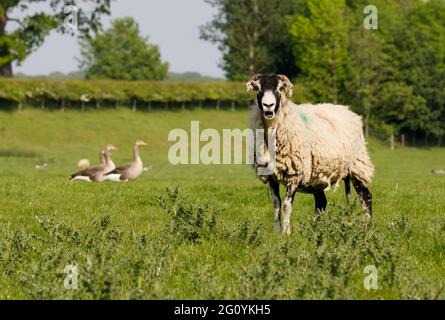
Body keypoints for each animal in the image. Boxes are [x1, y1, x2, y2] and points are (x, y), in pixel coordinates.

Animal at [246, 75, 374, 235]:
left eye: (280, 88)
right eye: (258, 88)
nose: (268, 105)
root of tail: (350, 112)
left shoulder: (294, 175)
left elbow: (286, 206)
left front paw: (286, 233)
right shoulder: (271, 176)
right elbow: (276, 203)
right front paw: (277, 231)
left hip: (357, 165)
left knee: (366, 197)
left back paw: (367, 228)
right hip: (318, 175)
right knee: (321, 203)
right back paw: (315, 229)